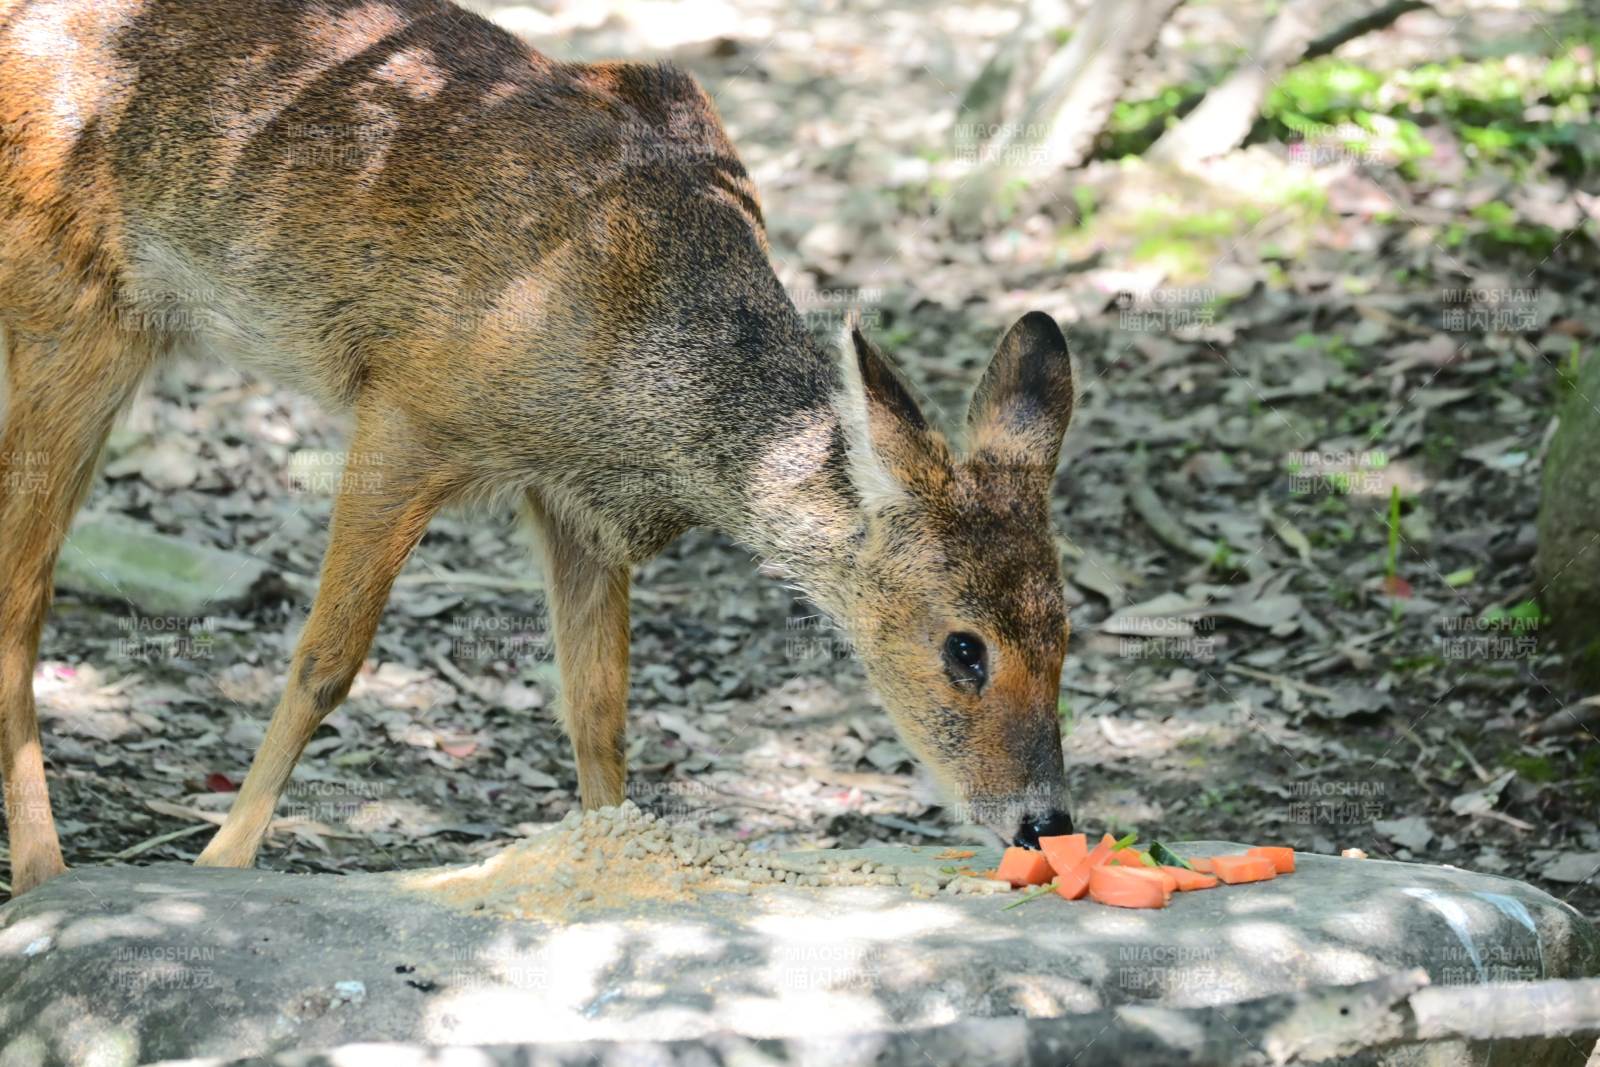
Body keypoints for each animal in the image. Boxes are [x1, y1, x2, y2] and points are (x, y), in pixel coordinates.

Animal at [0, 0, 1077, 896]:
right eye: (964, 647)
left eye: (1068, 633)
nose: (1046, 822)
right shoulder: (408, 408)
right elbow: (326, 660)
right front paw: (221, 862)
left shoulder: (575, 504)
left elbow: (598, 709)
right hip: (74, 305)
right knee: (23, 598)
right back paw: (47, 872)